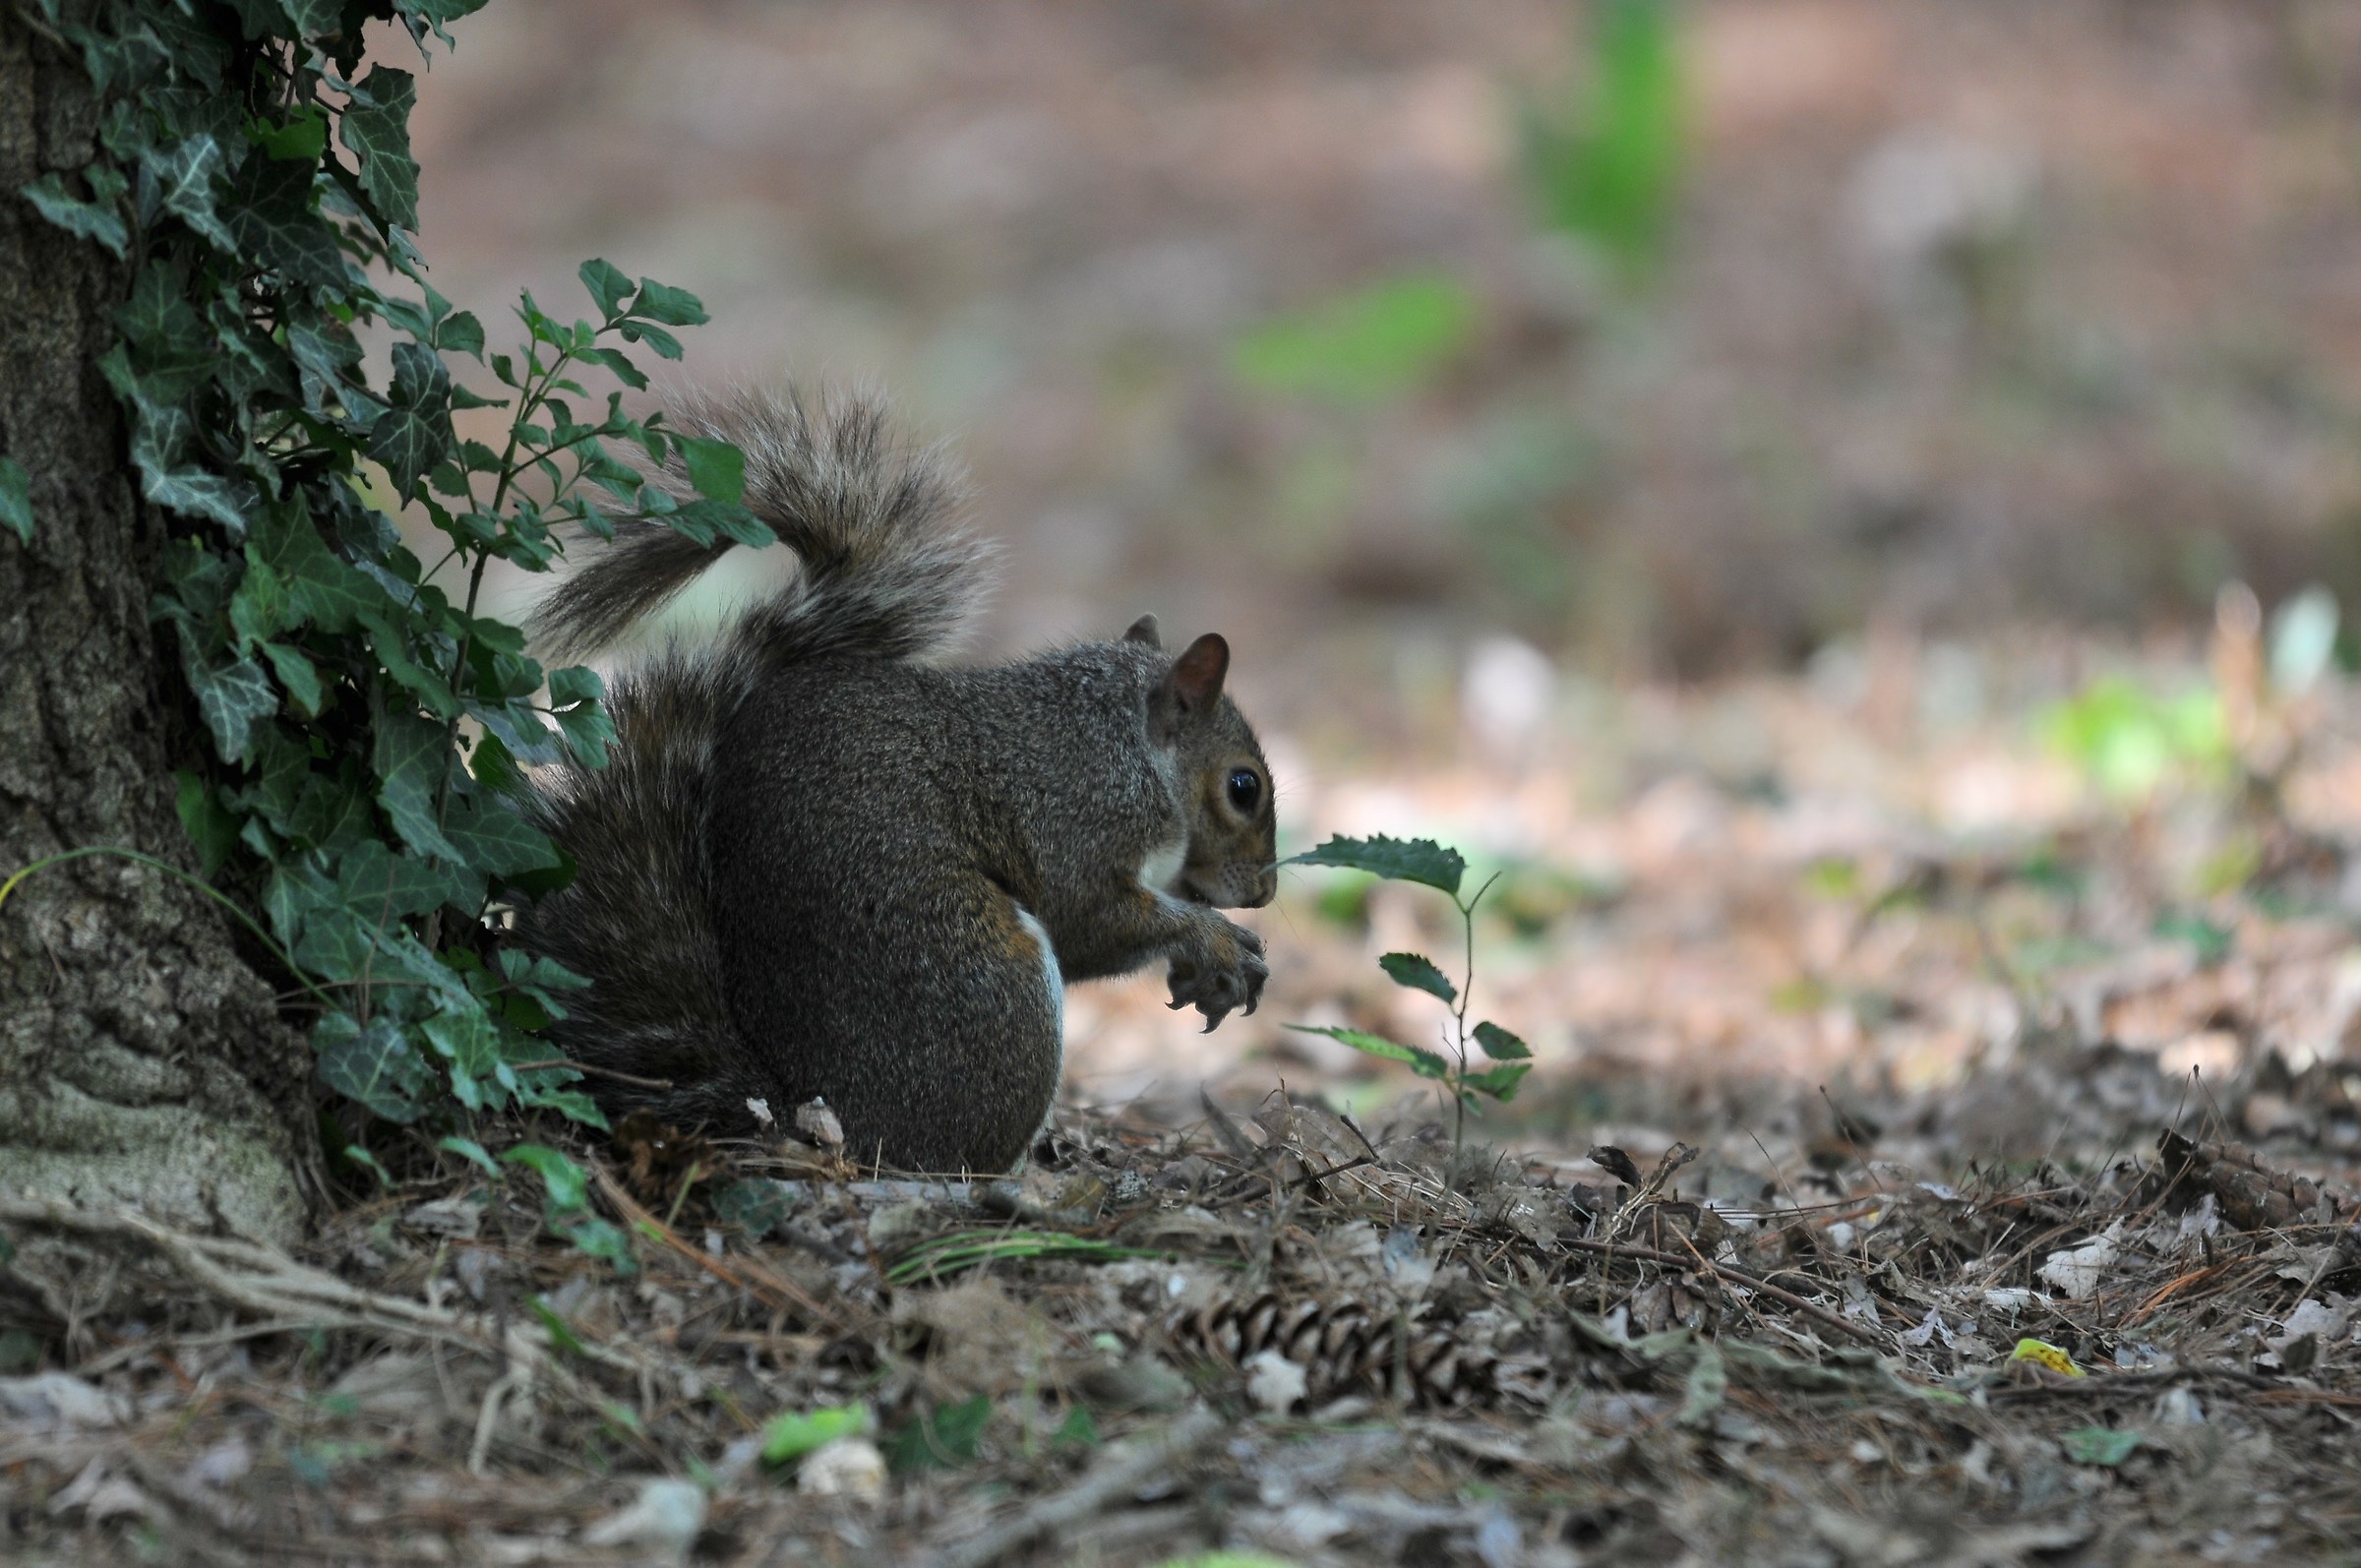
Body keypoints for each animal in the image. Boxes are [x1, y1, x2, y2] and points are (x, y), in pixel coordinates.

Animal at [511, 389, 1277, 1174]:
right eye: (1243, 787)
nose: (1264, 891)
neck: (1127, 745)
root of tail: (797, 1111)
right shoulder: (1076, 813)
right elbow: (1088, 920)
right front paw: (1214, 941)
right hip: (988, 983)